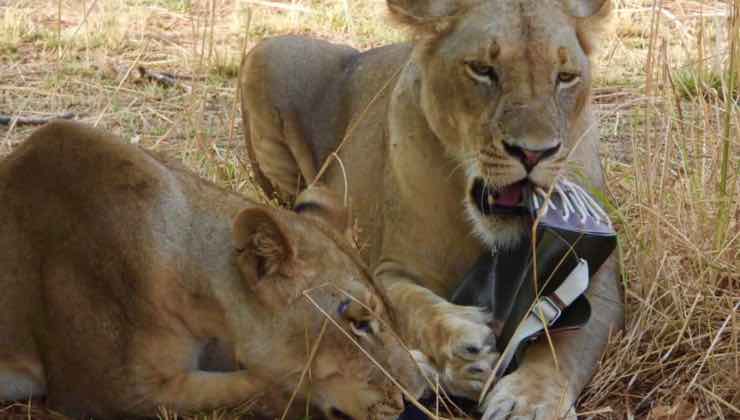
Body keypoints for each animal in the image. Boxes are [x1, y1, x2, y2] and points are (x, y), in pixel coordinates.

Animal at [241, 0, 624, 416]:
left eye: (566, 77)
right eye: (482, 70)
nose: (533, 153)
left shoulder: (601, 281)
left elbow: (566, 343)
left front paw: (528, 402)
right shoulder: (390, 268)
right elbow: (415, 305)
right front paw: (463, 343)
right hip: (265, 54)